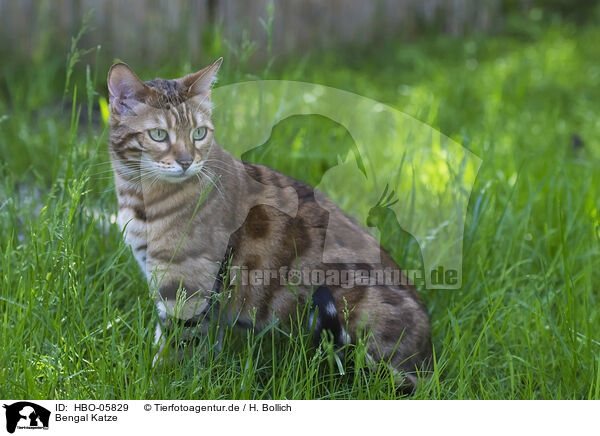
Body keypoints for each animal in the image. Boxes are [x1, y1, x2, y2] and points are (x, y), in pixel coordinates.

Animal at [104, 57, 432, 388]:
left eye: (199, 133)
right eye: (159, 135)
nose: (186, 162)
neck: (140, 199)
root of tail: (428, 357)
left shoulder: (185, 286)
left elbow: (177, 347)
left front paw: (162, 381)